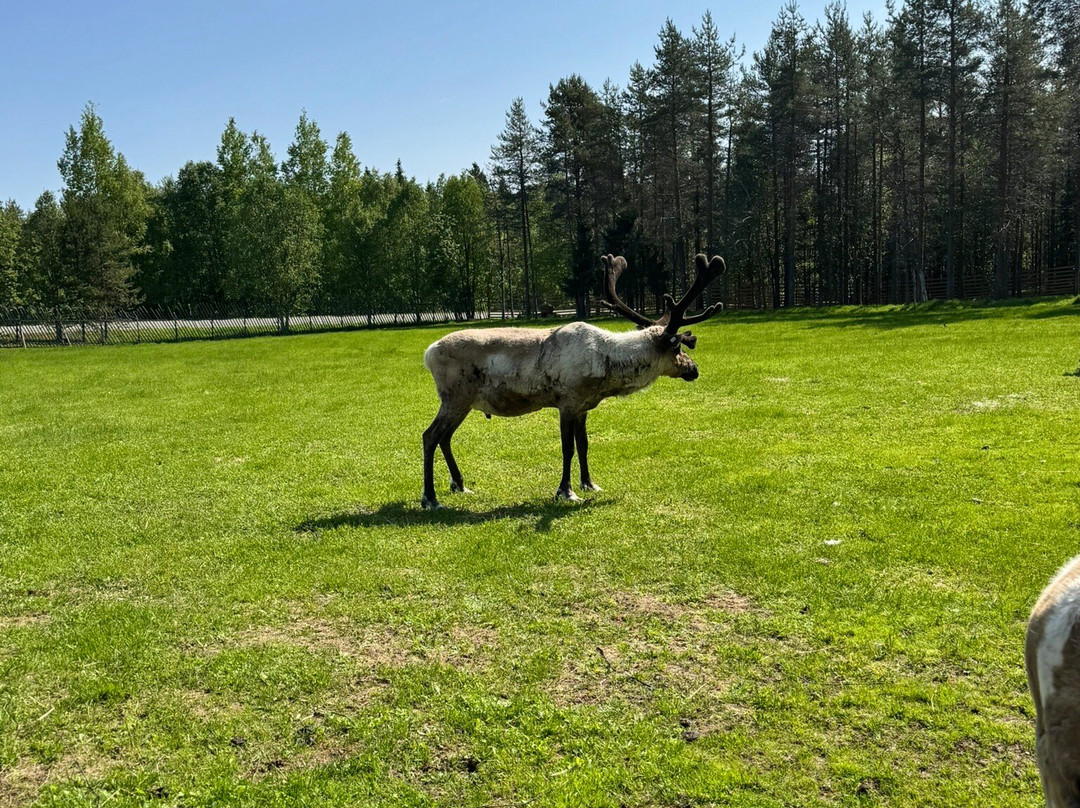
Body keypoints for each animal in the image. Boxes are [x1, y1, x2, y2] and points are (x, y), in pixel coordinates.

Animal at [420, 252, 725, 509]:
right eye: (677, 348)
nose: (694, 369)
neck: (606, 367)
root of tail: (428, 353)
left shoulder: (583, 407)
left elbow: (584, 445)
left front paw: (590, 484)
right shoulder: (567, 401)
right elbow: (567, 448)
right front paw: (565, 491)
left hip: (463, 403)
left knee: (444, 437)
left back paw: (460, 485)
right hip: (455, 397)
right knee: (430, 436)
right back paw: (430, 498)